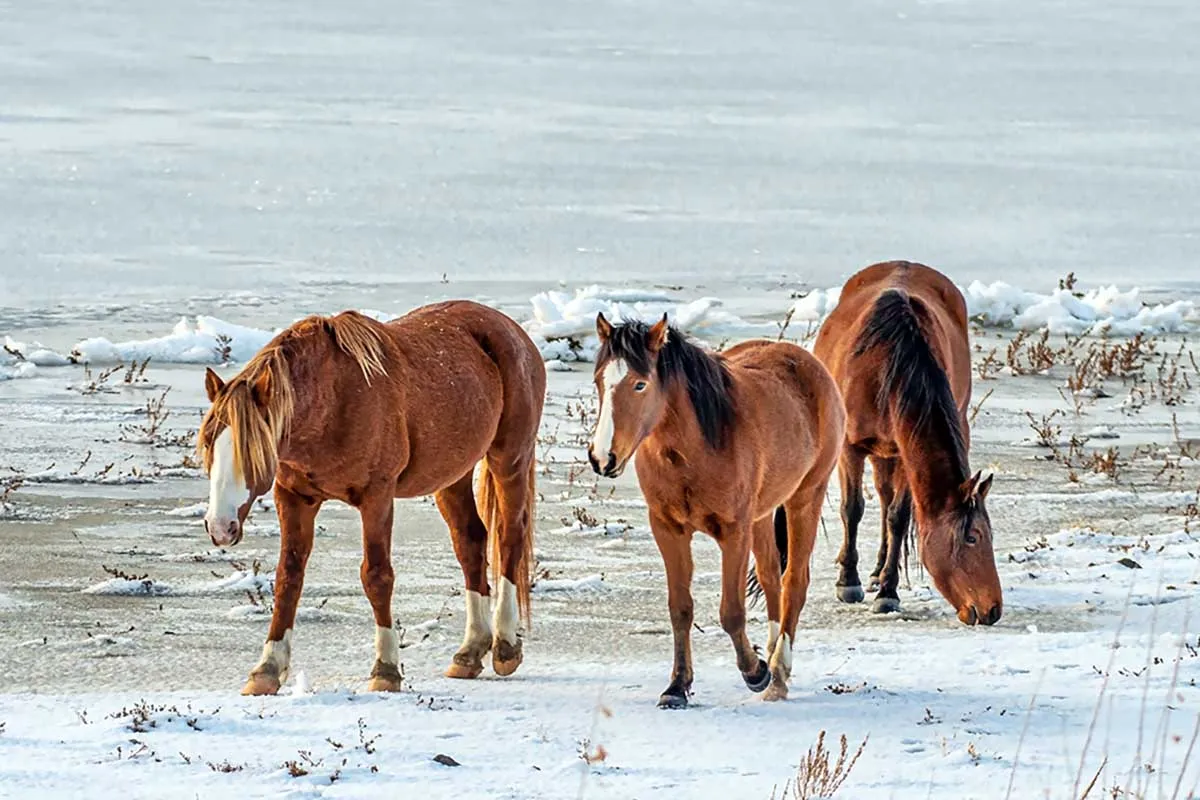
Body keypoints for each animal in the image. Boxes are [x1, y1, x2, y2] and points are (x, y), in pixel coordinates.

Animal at [197, 300, 546, 695]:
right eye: (208, 444)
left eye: (253, 452)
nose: (220, 527)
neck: (332, 402)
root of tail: (512, 330)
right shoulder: (293, 497)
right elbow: (288, 578)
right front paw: (266, 669)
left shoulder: (377, 497)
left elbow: (377, 576)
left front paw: (386, 669)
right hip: (451, 476)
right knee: (471, 542)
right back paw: (470, 652)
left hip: (510, 459)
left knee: (509, 538)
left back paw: (505, 647)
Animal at [587, 312, 845, 706]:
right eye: (599, 380)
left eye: (640, 384)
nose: (603, 458)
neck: (694, 449)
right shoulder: (667, 528)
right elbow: (680, 608)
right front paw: (677, 687)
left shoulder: (733, 531)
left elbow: (732, 612)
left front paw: (755, 671)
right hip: (762, 515)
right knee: (771, 577)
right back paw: (773, 659)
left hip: (805, 498)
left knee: (794, 583)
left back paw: (778, 672)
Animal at [811, 260, 1002, 625]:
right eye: (972, 537)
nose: (993, 610)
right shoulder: (850, 448)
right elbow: (852, 509)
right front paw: (848, 582)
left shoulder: (903, 451)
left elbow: (897, 518)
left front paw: (888, 590)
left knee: (887, 502)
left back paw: (879, 570)